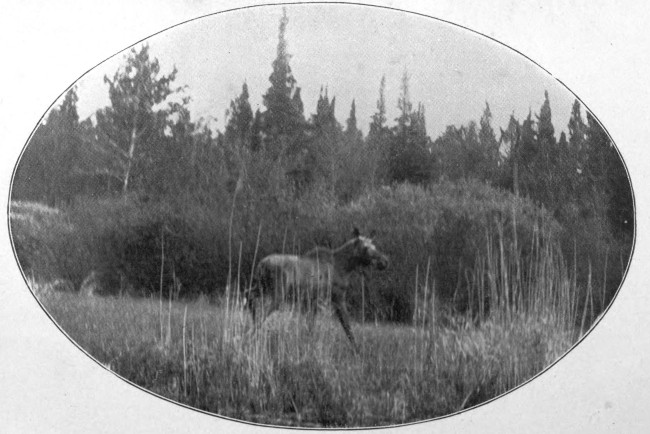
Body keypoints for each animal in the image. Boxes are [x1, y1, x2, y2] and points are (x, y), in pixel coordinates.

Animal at [242, 229, 384, 350]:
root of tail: (261, 265)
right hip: (277, 294)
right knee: (262, 311)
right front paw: (357, 350)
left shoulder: (313, 300)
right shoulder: (337, 297)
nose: (384, 261)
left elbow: (311, 326)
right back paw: (250, 336)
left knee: (248, 295)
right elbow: (347, 325)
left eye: (375, 246)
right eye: (366, 248)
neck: (344, 268)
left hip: (261, 287)